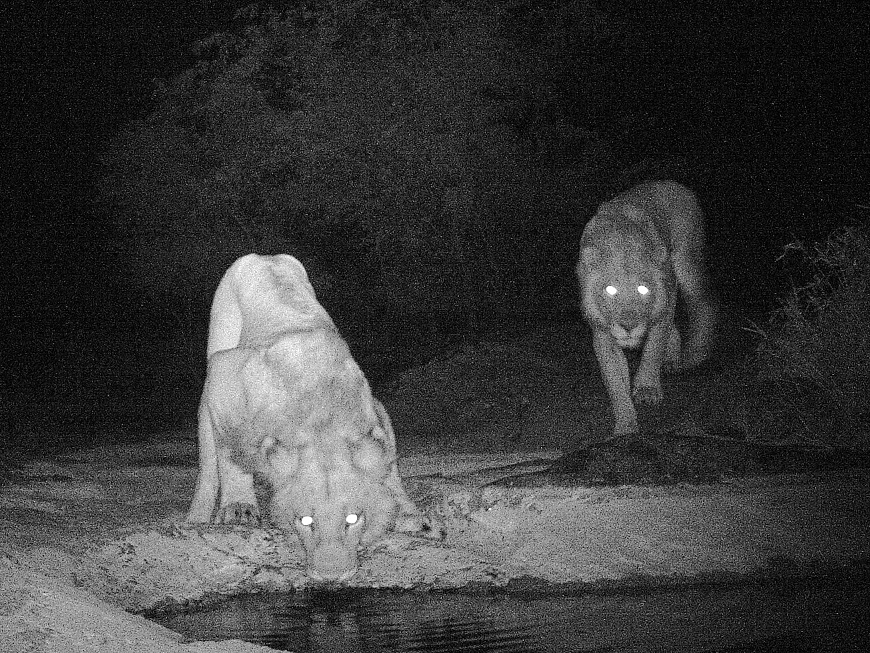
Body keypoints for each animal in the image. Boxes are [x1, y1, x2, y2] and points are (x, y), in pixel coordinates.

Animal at [187, 253, 430, 580]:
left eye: (352, 519)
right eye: (305, 521)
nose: (332, 575)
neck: (320, 419)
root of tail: (265, 256)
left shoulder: (372, 405)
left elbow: (387, 463)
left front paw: (410, 516)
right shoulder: (225, 376)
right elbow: (230, 450)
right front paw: (239, 509)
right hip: (222, 322)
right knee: (208, 452)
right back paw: (198, 518)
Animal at [576, 181, 720, 436]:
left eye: (643, 289)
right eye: (610, 290)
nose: (628, 327)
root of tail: (674, 184)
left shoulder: (662, 305)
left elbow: (653, 348)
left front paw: (647, 389)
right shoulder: (602, 331)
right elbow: (614, 378)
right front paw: (625, 423)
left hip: (685, 264)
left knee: (705, 304)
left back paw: (695, 353)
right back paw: (672, 359)